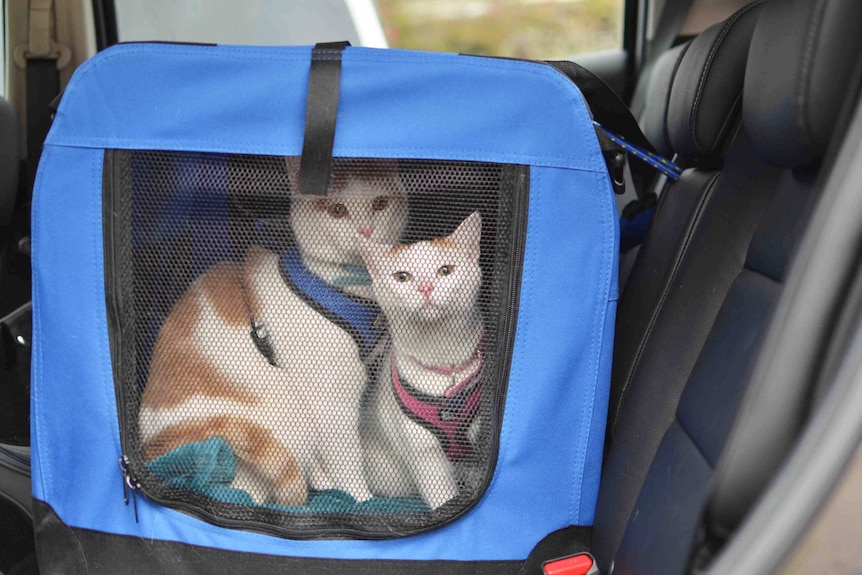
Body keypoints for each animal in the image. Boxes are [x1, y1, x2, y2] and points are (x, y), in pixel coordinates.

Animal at [138, 159, 408, 508]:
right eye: (337, 209)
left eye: (379, 203)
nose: (366, 231)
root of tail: (152, 448)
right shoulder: (330, 396)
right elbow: (347, 459)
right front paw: (363, 500)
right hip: (280, 409)